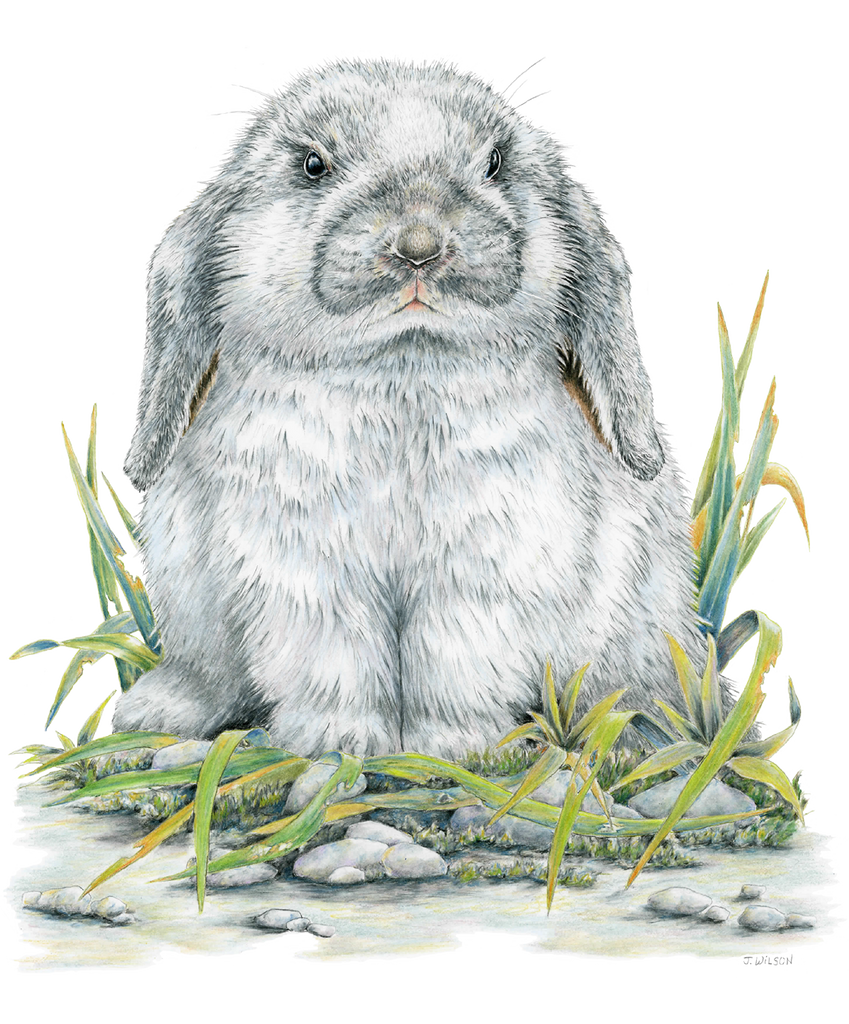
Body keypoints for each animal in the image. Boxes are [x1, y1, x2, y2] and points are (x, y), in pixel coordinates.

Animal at [111, 48, 710, 759]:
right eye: (313, 165)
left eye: (495, 163)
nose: (419, 245)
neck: (401, 372)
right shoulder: (307, 572)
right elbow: (333, 657)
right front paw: (336, 742)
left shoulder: (483, 567)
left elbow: (454, 657)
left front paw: (456, 748)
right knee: (208, 673)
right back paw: (151, 712)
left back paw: (633, 733)